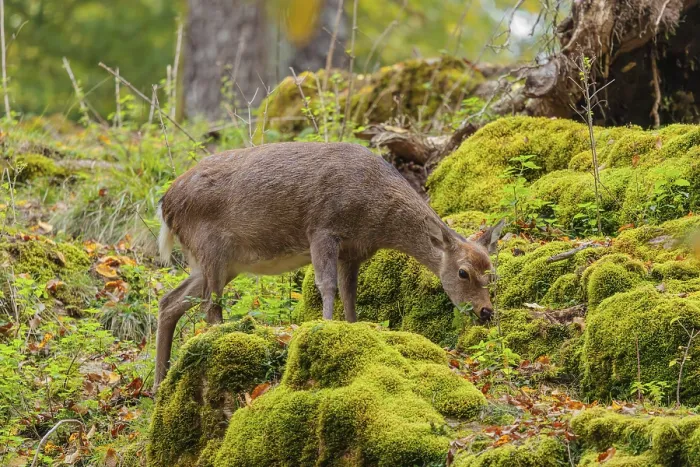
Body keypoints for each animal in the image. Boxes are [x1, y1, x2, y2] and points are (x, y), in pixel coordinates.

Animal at [154, 142, 504, 390]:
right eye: (463, 272)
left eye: (492, 272)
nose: (486, 311)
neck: (377, 215)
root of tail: (165, 205)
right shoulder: (323, 228)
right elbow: (327, 285)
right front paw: (323, 327)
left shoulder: (354, 250)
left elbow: (350, 294)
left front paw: (352, 327)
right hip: (211, 247)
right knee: (209, 304)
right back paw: (220, 338)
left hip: (221, 263)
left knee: (170, 301)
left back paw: (158, 384)